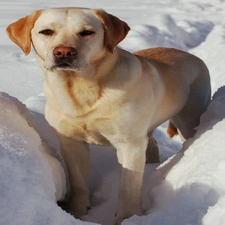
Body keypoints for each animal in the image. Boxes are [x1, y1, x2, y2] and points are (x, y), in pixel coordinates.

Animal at [6, 7, 211, 225]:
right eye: (46, 32)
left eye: (86, 32)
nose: (64, 52)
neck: (81, 88)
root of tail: (191, 55)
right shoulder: (72, 142)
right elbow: (78, 183)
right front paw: (78, 213)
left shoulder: (129, 143)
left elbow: (128, 188)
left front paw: (127, 218)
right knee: (152, 145)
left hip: (188, 119)